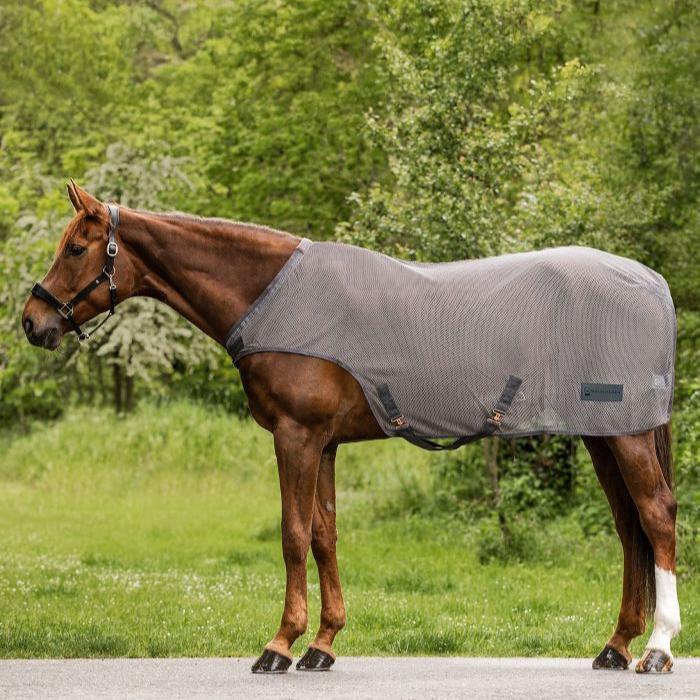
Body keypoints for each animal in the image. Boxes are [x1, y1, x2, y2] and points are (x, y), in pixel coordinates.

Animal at [22, 182, 680, 674]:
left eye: (76, 248)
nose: (32, 322)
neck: (271, 298)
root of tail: (652, 283)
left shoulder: (296, 437)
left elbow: (292, 534)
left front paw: (279, 644)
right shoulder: (326, 444)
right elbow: (324, 535)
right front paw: (322, 644)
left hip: (625, 435)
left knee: (656, 517)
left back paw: (657, 648)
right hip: (603, 435)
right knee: (629, 530)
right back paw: (616, 646)